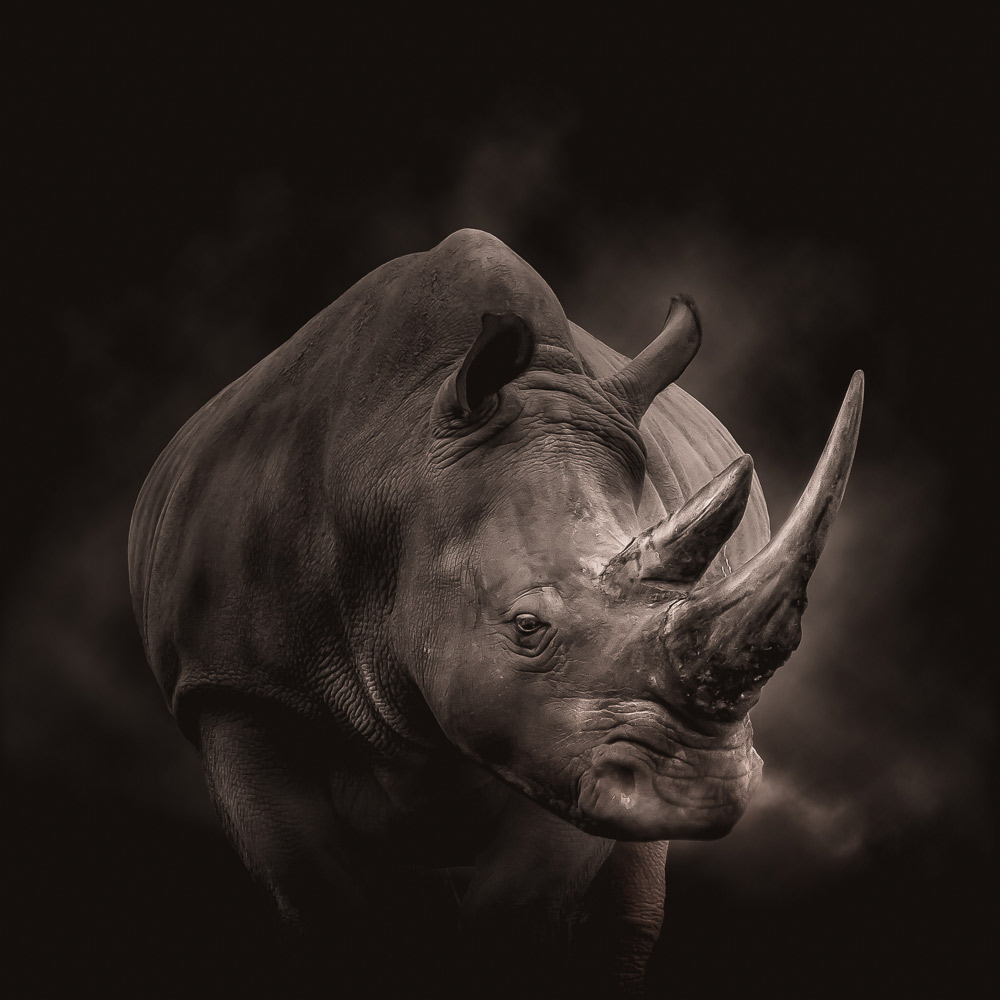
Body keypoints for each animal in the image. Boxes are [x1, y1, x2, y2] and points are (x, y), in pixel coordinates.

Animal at [128, 229, 862, 996]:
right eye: (526, 627)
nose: (705, 788)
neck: (395, 459)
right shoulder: (231, 687)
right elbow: (320, 898)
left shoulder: (568, 737)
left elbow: (522, 908)